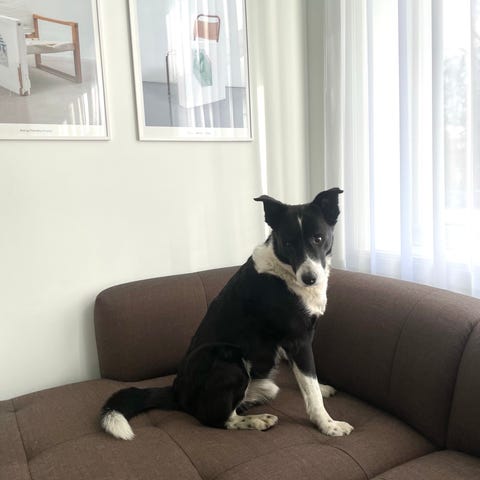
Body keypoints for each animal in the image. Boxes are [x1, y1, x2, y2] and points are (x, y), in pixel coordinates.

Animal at [100, 188, 353, 439]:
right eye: (288, 243)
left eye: (318, 238)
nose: (310, 279)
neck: (284, 272)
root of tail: (176, 390)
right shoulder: (298, 341)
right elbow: (311, 390)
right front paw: (328, 424)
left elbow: (309, 380)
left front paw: (321, 388)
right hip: (229, 360)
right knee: (216, 418)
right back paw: (256, 421)